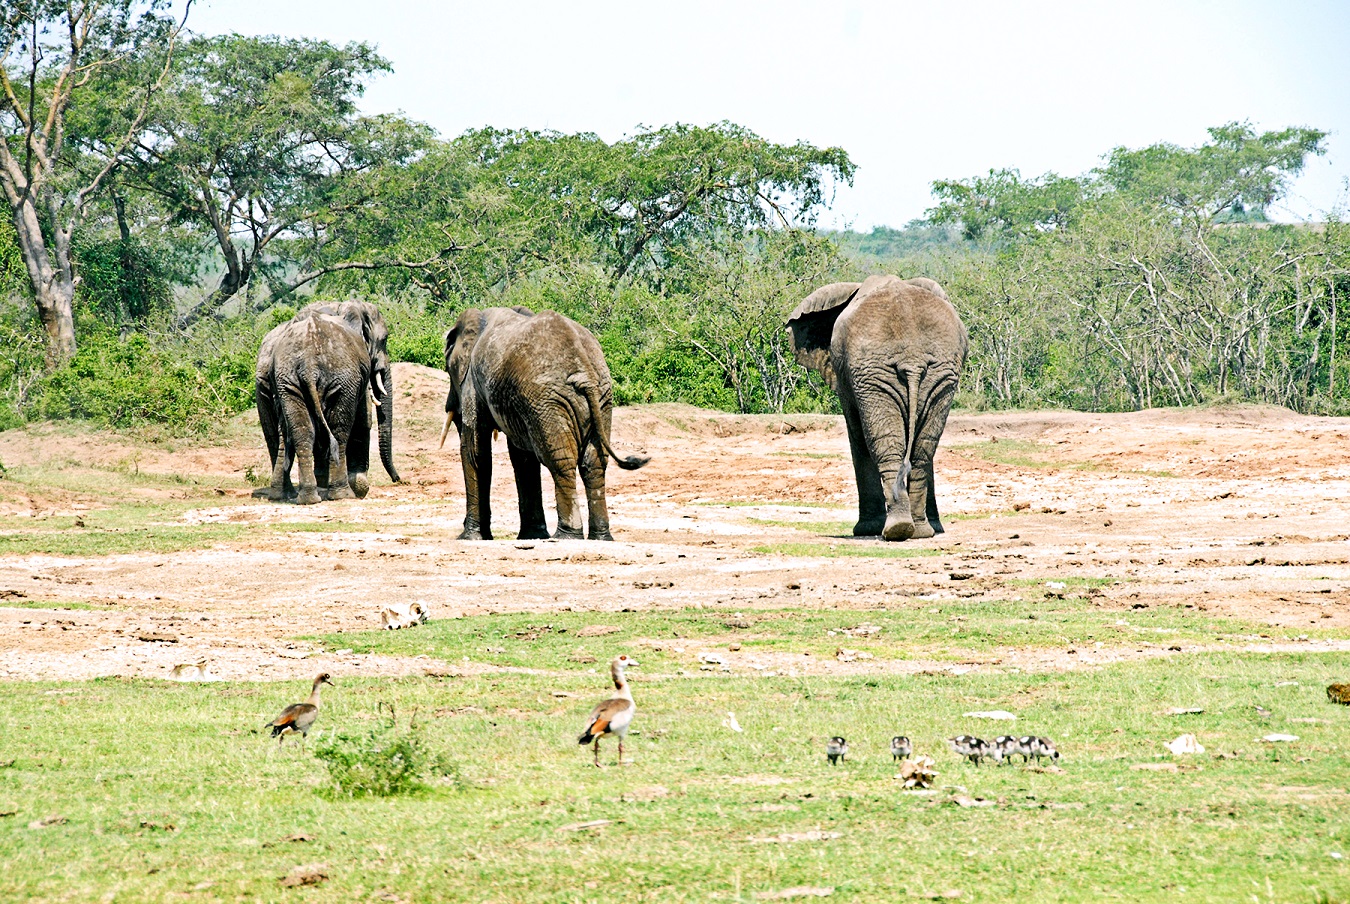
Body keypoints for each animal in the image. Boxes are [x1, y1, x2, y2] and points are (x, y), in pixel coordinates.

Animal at [253, 302, 396, 501]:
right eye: (384, 339)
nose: (398, 479)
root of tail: (308, 364)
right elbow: (363, 418)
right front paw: (360, 487)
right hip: (341, 377)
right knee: (339, 430)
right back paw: (342, 493)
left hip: (284, 380)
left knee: (295, 432)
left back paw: (300, 496)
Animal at [437, 307, 648, 542]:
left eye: (449, 370)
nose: (450, 405)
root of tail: (584, 372)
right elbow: (522, 457)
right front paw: (531, 536)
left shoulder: (473, 384)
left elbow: (476, 452)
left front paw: (469, 537)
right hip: (599, 398)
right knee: (594, 462)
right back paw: (601, 538)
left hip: (548, 400)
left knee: (560, 461)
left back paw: (565, 536)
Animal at [788, 276, 966, 542]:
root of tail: (912, 361)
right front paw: (935, 528)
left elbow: (857, 436)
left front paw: (866, 529)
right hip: (937, 374)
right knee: (923, 449)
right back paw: (918, 531)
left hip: (875, 375)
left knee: (880, 443)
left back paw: (895, 529)